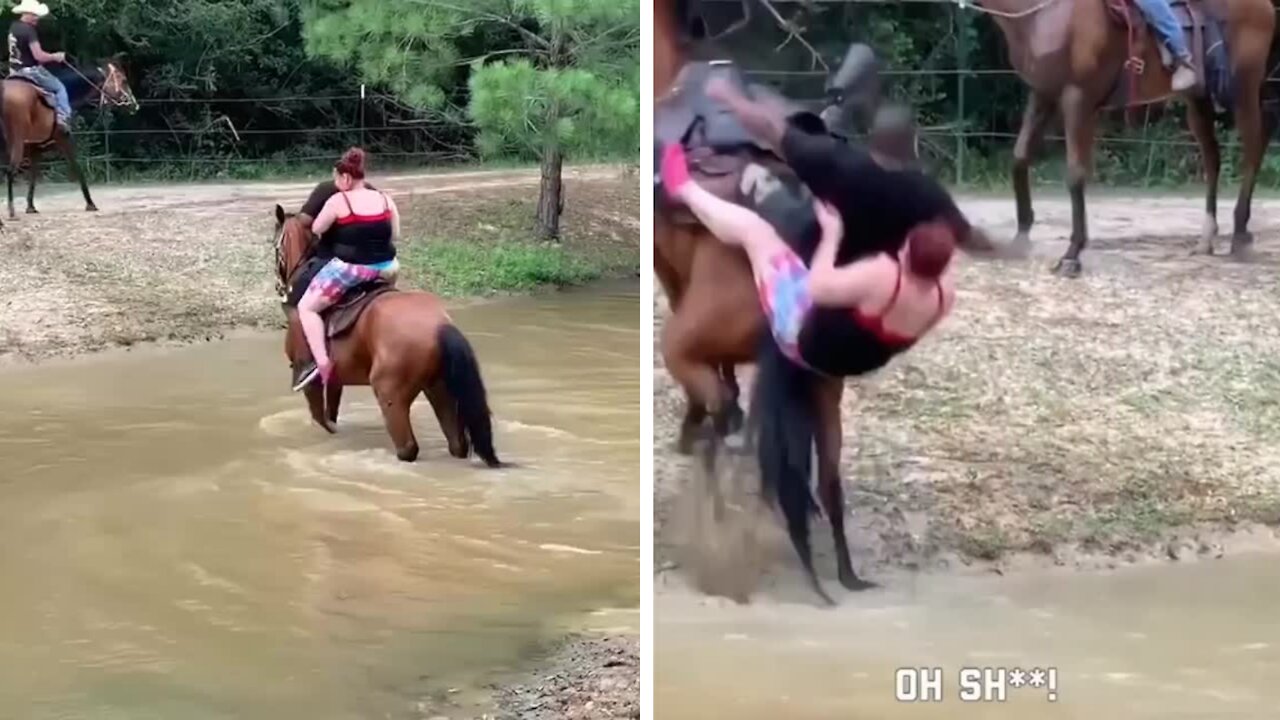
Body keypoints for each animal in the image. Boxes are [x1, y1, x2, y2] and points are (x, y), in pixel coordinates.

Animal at [0, 60, 136, 220]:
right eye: (124, 80)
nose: (134, 104)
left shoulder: (35, 147)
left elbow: (33, 176)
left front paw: (31, 207)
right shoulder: (64, 139)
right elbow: (77, 167)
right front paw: (91, 204)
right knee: (10, 171)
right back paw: (12, 211)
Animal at [272, 204, 501, 468]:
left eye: (275, 244)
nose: (279, 286)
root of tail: (440, 325)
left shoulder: (310, 380)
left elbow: (323, 420)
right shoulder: (335, 377)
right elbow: (332, 414)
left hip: (390, 394)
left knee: (408, 448)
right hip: (439, 389)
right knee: (457, 443)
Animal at [972, 0, 1274, 274]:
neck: (1045, 14)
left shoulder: (1077, 98)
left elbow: (1075, 173)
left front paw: (1072, 255)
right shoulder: (1043, 94)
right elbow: (1020, 158)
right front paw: (1021, 238)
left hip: (1244, 89)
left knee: (1253, 149)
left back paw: (1240, 234)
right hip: (1198, 100)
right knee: (1213, 158)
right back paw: (1207, 238)